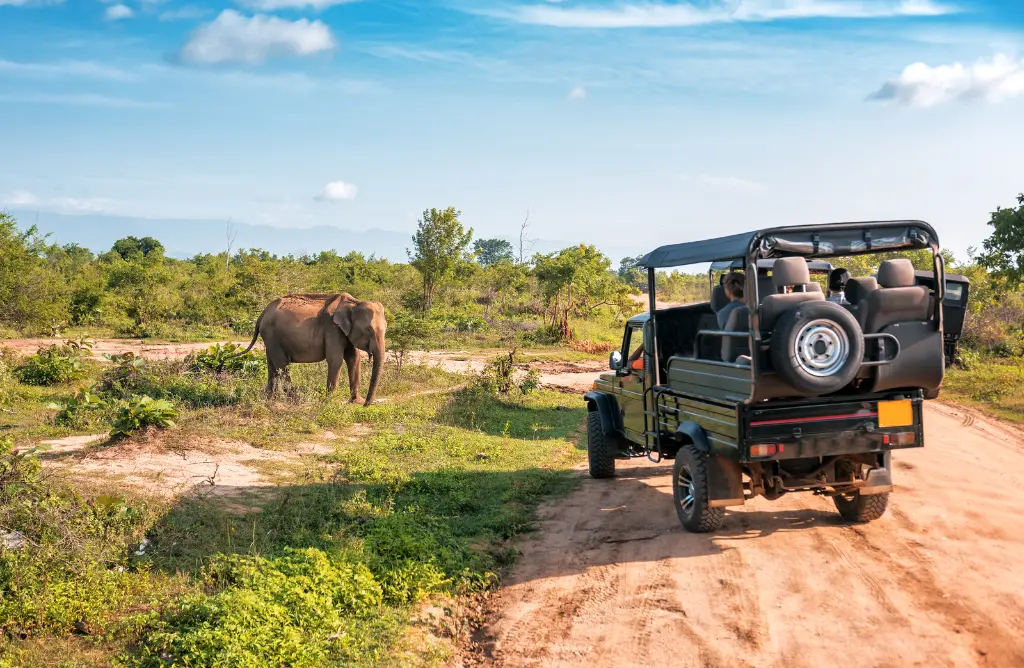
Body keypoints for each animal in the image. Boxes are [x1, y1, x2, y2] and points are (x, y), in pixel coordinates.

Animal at [232, 293, 387, 407]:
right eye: (369, 330)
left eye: (386, 329)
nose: (366, 404)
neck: (354, 303)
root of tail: (262, 313)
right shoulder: (332, 329)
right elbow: (336, 360)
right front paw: (330, 401)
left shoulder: (345, 332)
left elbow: (353, 359)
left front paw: (355, 401)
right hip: (271, 335)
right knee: (282, 364)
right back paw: (293, 398)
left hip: (270, 337)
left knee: (272, 364)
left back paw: (271, 398)